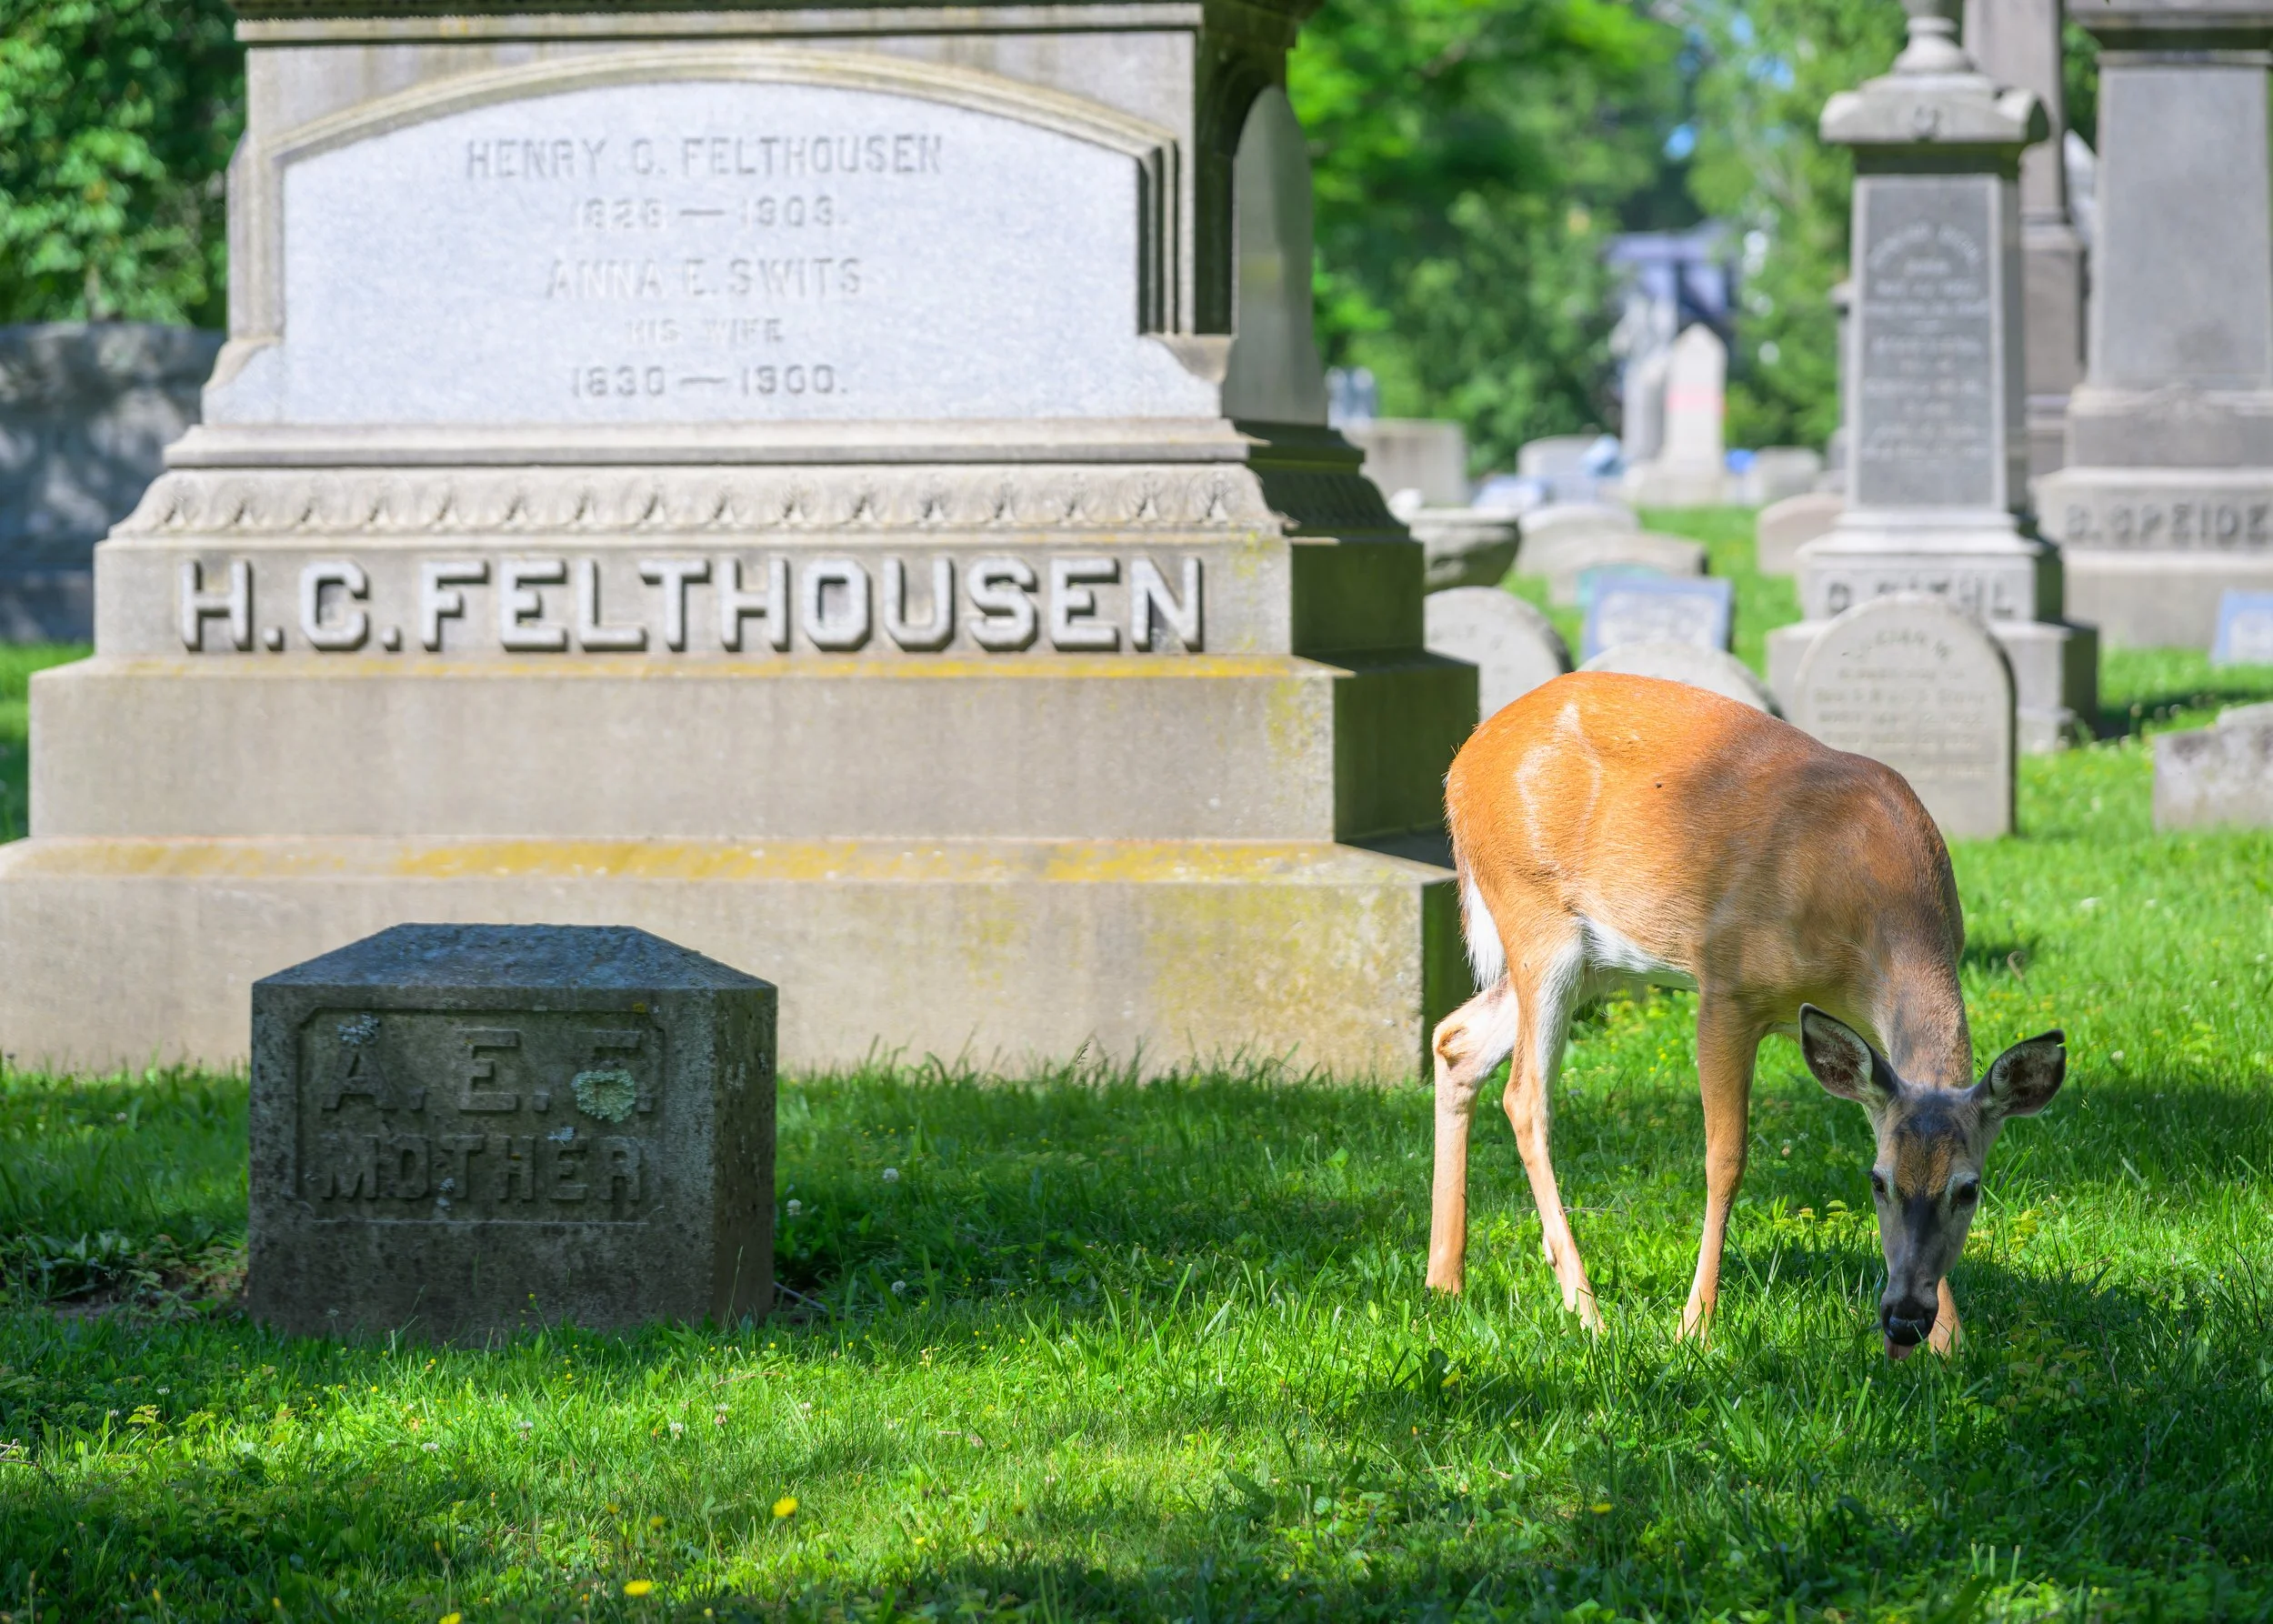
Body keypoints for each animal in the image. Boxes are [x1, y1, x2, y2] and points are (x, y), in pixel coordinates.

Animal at [1427, 672, 2065, 1360]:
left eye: (1969, 1189)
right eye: (1878, 1182)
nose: (1904, 1319)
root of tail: (1463, 763)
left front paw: (1951, 1344)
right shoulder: (1726, 986)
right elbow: (1726, 1158)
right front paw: (1695, 1326)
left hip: (1599, 959)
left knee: (1456, 1039)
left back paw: (1446, 1282)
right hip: (1535, 916)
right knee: (1525, 1095)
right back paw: (1586, 1310)